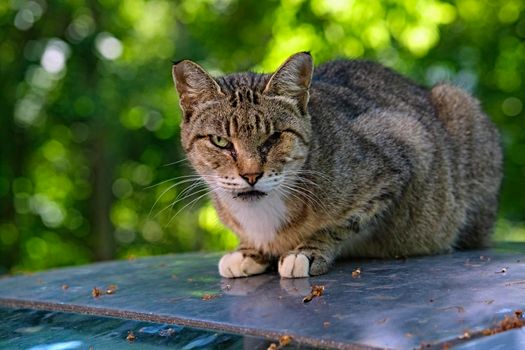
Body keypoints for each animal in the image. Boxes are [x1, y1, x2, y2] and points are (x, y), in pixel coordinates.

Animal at [170, 51, 502, 278]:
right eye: (220, 141)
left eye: (274, 137)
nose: (251, 175)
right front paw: (248, 251)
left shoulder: (403, 152)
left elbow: (342, 224)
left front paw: (306, 251)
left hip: (458, 106)